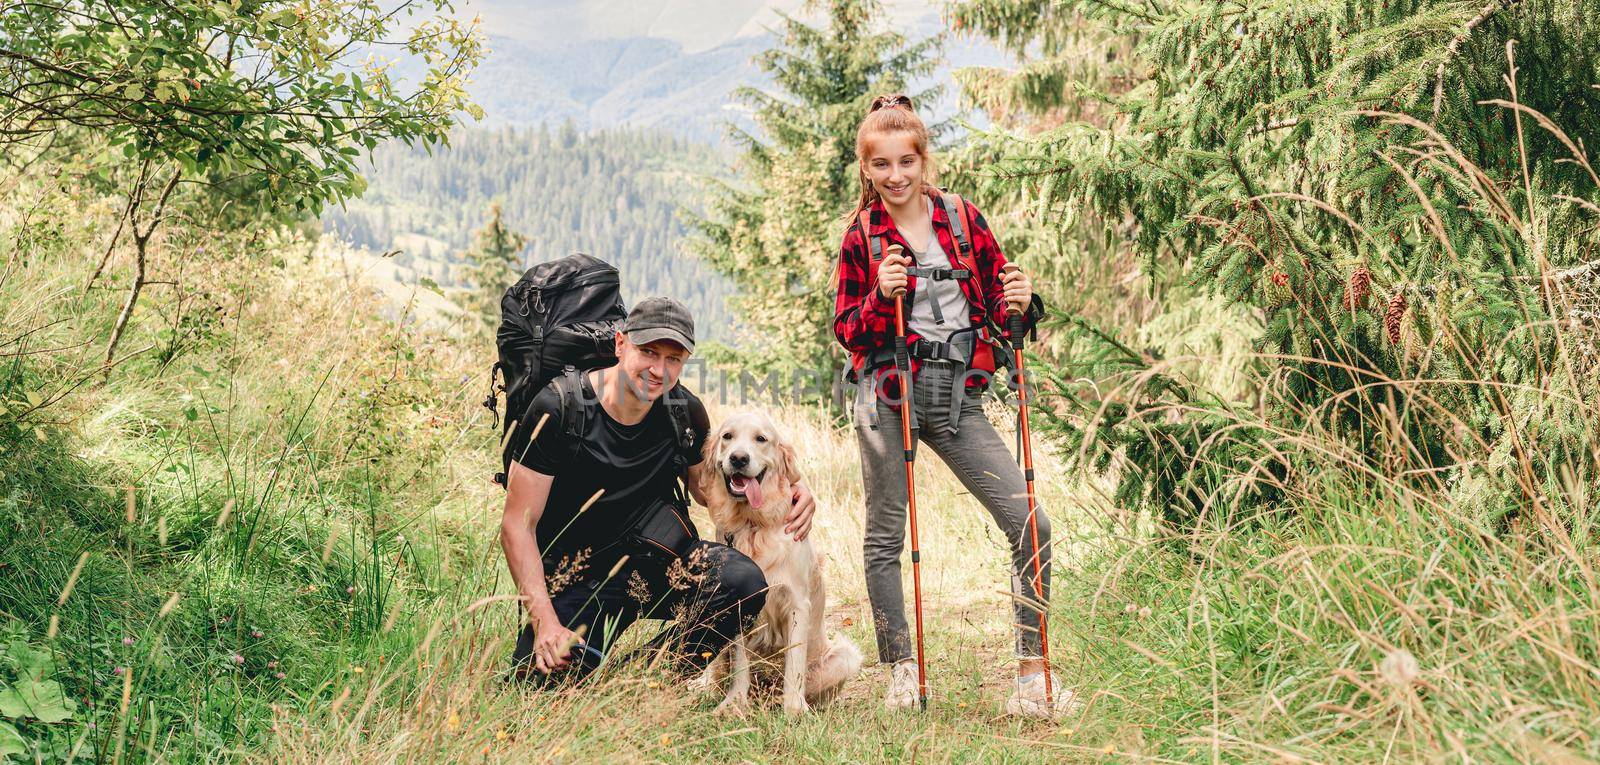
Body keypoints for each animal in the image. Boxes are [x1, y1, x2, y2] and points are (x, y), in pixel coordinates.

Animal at [694, 409, 857, 713]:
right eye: (727, 436)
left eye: (761, 439)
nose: (739, 458)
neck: (753, 524)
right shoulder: (741, 603)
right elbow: (740, 663)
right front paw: (734, 703)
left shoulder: (797, 603)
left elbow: (794, 662)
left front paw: (794, 709)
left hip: (845, 656)